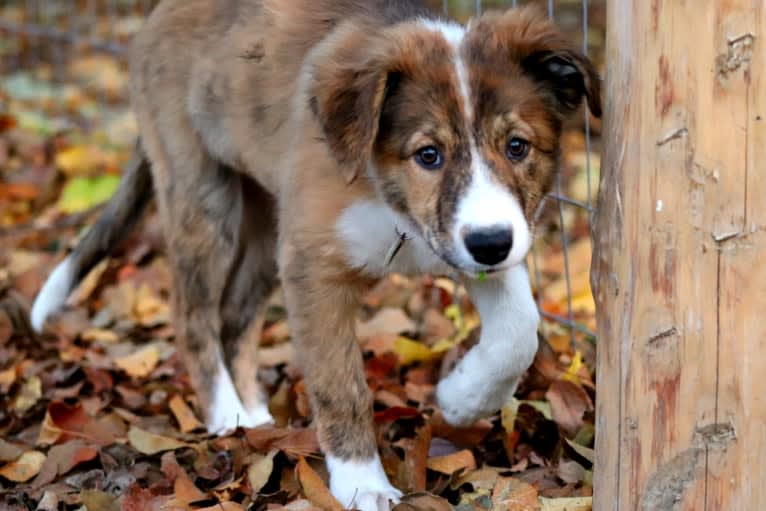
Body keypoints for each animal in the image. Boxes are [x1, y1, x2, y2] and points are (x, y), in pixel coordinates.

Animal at [33, 2, 604, 510]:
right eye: (429, 155)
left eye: (517, 147)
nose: (491, 244)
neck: (391, 201)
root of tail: (156, 15)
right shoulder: (314, 269)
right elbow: (340, 385)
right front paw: (362, 484)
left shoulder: (469, 242)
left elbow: (519, 330)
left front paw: (462, 398)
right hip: (202, 197)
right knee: (194, 316)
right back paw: (224, 415)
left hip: (267, 227)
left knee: (235, 318)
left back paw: (253, 419)